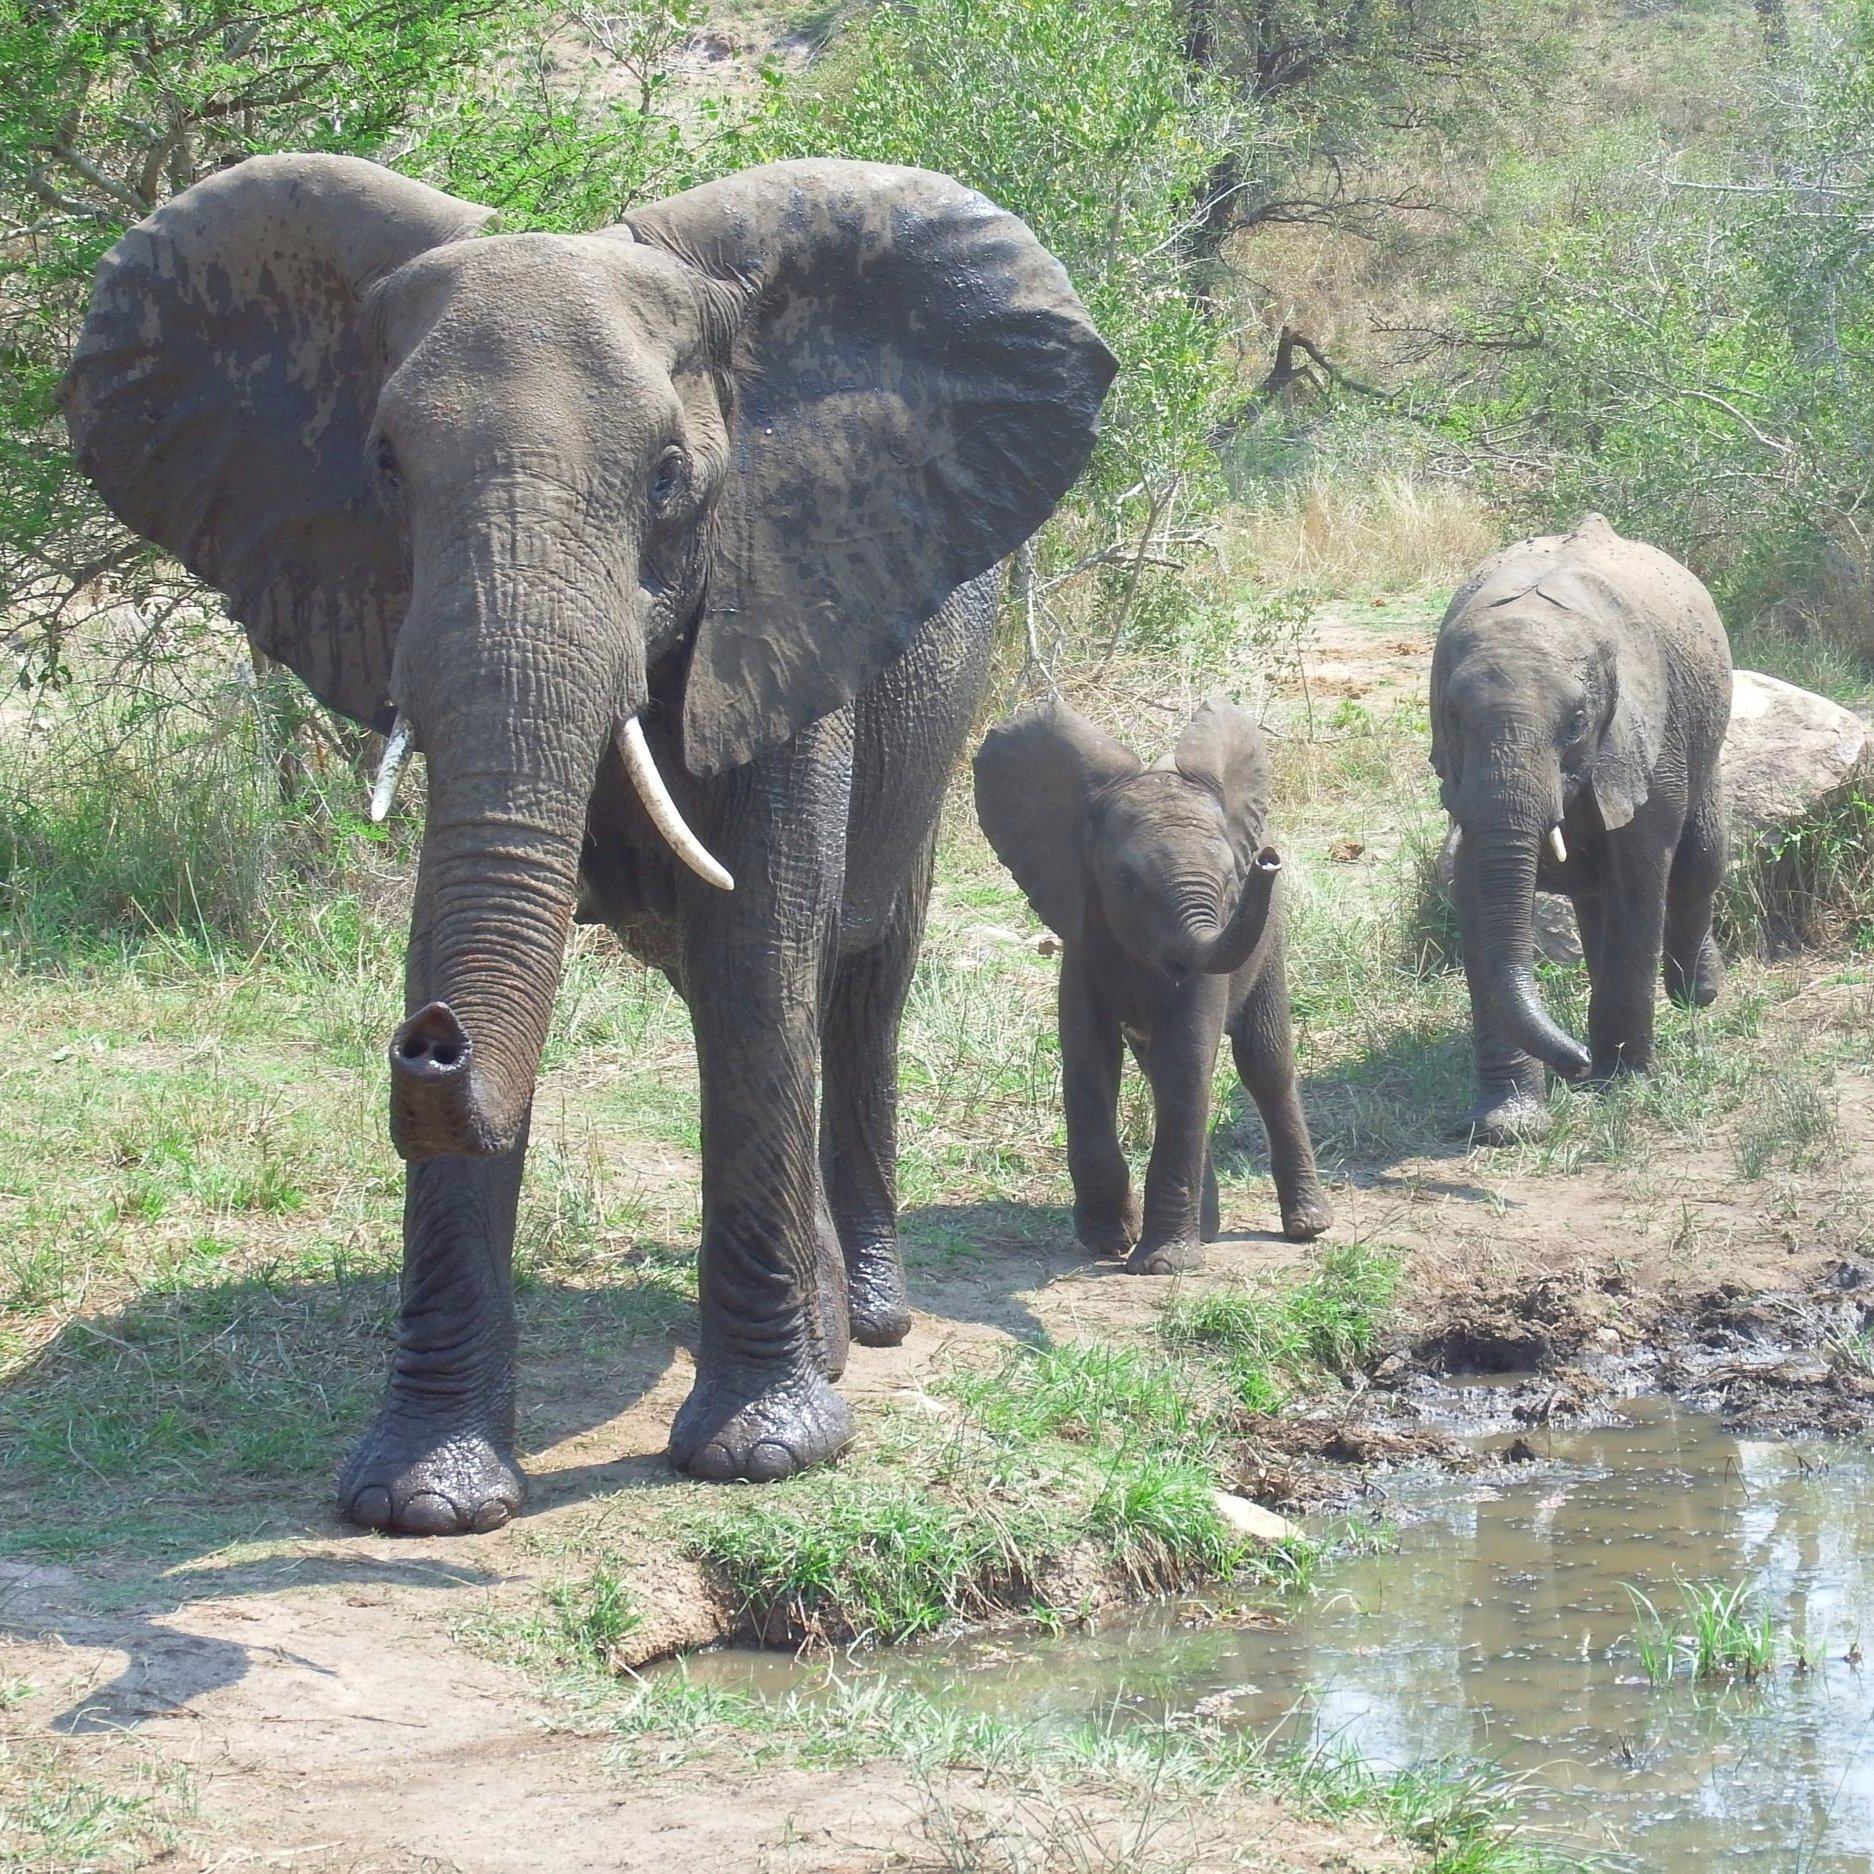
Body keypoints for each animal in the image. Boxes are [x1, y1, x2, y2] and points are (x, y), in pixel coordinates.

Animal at [62, 153, 1109, 1536]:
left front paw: (763, 1453)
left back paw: (869, 1324)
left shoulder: (780, 605)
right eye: (384, 465)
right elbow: (481, 922)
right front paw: (421, 1497)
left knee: (856, 976)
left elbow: (760, 946)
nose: (430, 1044)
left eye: (667, 475)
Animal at [966, 704, 1334, 1274]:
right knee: (1162, 1070)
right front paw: (1108, 1241)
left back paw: (1306, 1227)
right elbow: (1088, 1057)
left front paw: (1162, 1265)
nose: (1267, 861)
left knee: (1264, 1065)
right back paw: (1207, 1231)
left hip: (1270, 946)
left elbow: (1188, 1057)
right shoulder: (1082, 934)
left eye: (1230, 881)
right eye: (1126, 883)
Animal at [1431, 505, 1724, 1139]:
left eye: (1576, 723)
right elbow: (1476, 893)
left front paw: (1622, 1084)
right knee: (1597, 898)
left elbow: (1641, 885)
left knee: (1698, 866)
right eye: (1453, 720)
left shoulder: (1646, 737)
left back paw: (1698, 995)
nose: (1578, 1064)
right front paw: (1508, 1125)